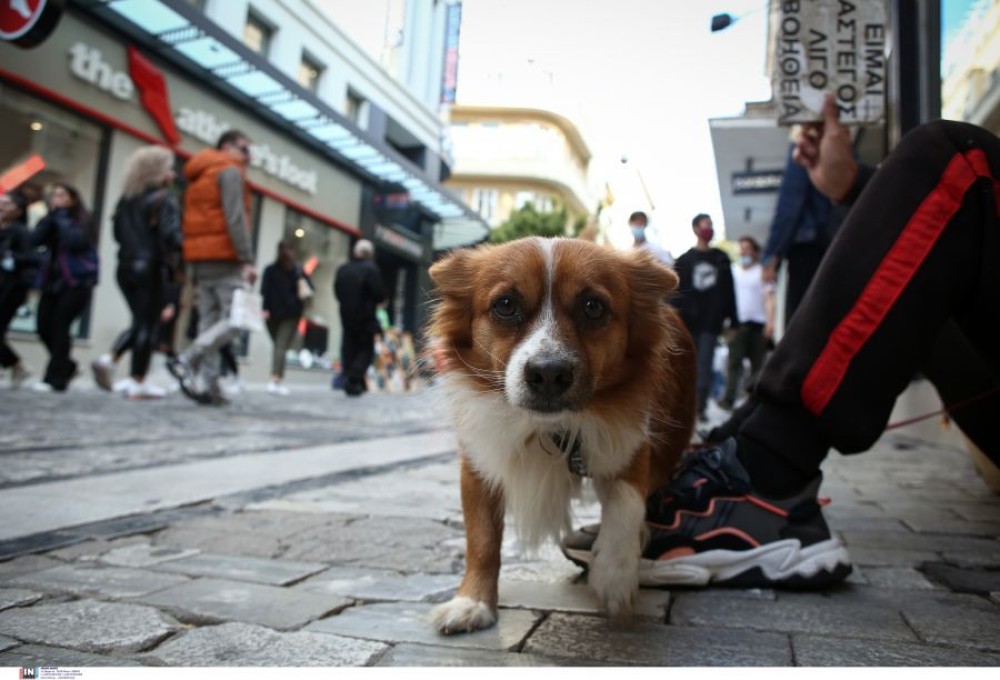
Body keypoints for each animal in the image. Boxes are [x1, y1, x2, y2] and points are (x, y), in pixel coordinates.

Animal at [424, 236, 696, 636]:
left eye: (593, 307)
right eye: (505, 305)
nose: (549, 373)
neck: (552, 427)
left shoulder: (632, 442)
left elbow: (626, 504)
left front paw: (614, 573)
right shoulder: (478, 460)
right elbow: (482, 538)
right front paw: (473, 602)